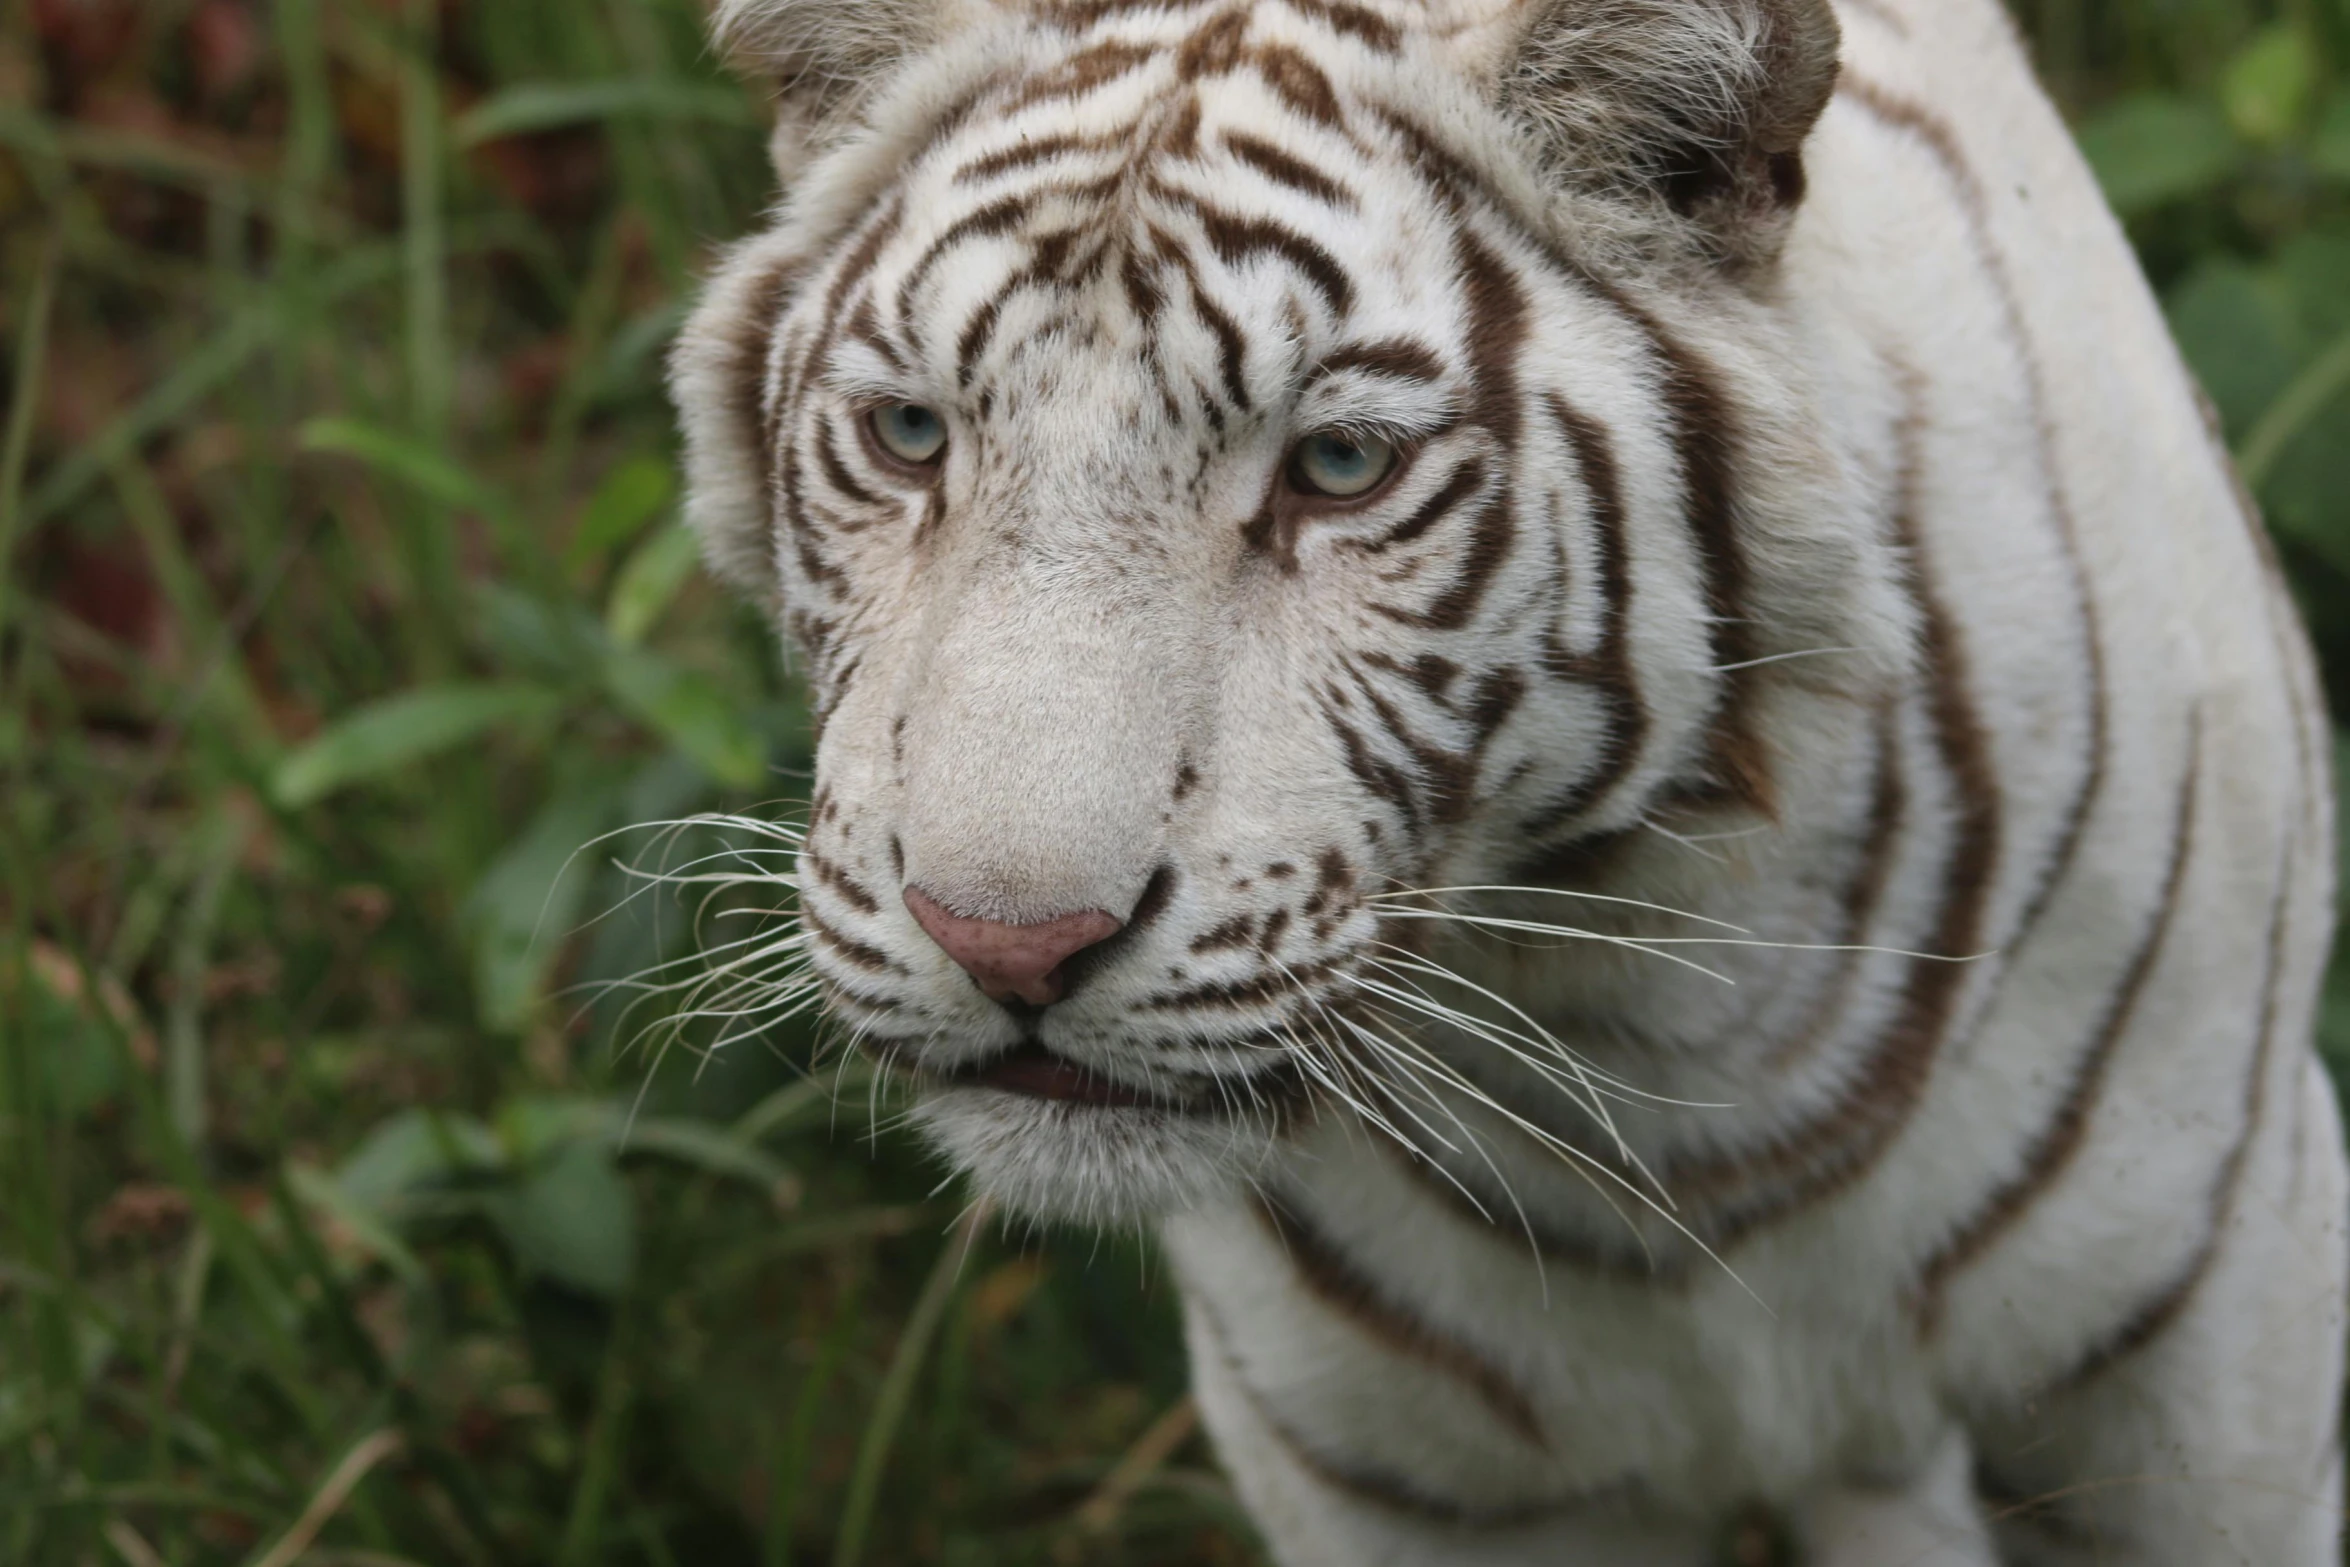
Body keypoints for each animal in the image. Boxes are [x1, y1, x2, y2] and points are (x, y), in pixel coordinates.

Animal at [667, 0, 2350, 1559]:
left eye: (1338, 466)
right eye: (908, 433)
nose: (1005, 942)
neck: (1655, 1026)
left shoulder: (2213, 1323)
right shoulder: (1391, 1467)